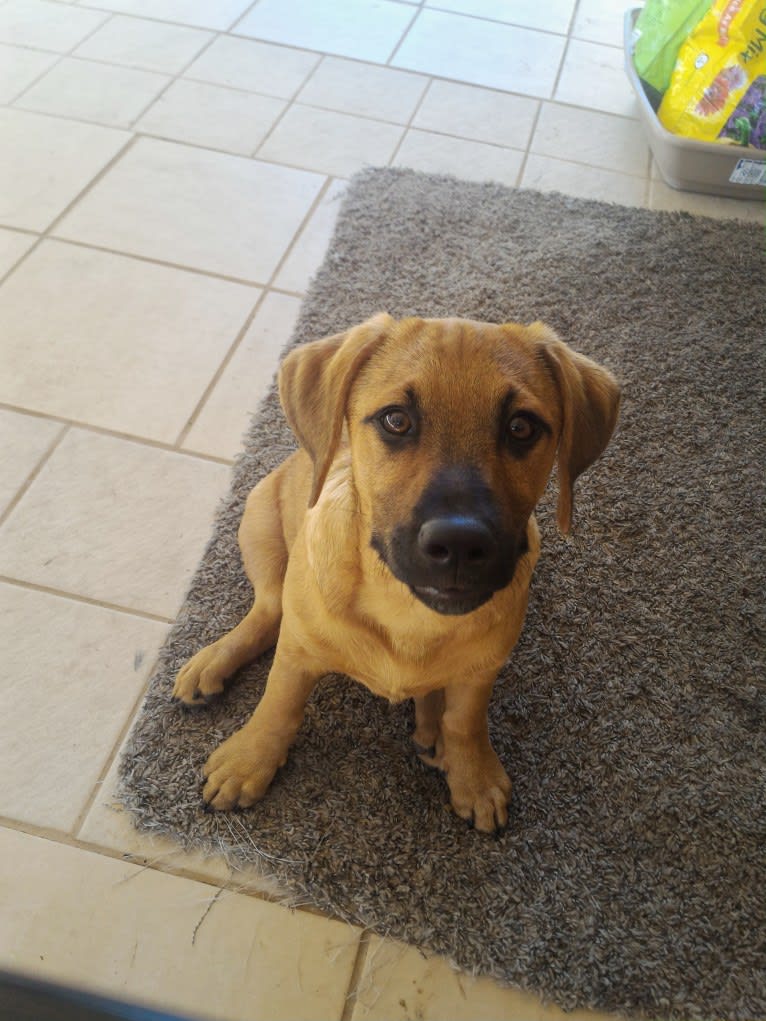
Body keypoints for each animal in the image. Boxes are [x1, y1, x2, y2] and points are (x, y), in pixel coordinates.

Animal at [170, 314, 620, 833]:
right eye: (396, 420)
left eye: (522, 427)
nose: (460, 544)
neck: (408, 611)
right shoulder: (298, 651)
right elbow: (278, 703)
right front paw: (248, 761)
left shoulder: (482, 669)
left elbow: (466, 722)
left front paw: (473, 775)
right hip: (259, 523)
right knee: (267, 610)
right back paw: (211, 662)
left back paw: (431, 726)